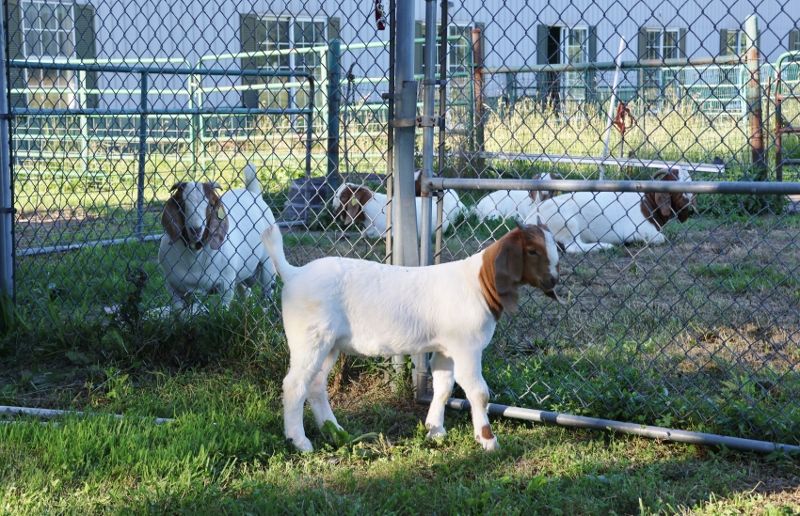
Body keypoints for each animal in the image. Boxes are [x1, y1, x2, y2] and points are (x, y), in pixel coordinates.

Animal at [159, 164, 277, 311]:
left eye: (210, 205)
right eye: (182, 205)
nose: (196, 230)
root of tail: (252, 193)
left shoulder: (225, 284)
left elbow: (222, 309)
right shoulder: (173, 286)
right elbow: (179, 310)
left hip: (268, 265)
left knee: (268, 292)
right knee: (245, 291)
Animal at [260, 222, 561, 452]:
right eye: (532, 250)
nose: (554, 281)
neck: (479, 283)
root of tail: (294, 273)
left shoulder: (446, 348)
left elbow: (443, 385)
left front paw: (435, 430)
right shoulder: (467, 347)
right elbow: (478, 391)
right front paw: (488, 441)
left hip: (330, 344)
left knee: (315, 384)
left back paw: (333, 429)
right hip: (310, 339)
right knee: (295, 384)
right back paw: (300, 442)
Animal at [524, 168, 695, 253]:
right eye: (677, 188)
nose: (692, 210)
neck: (647, 203)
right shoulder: (642, 231)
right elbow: (661, 239)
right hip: (566, 222)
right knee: (573, 247)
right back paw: (605, 246)